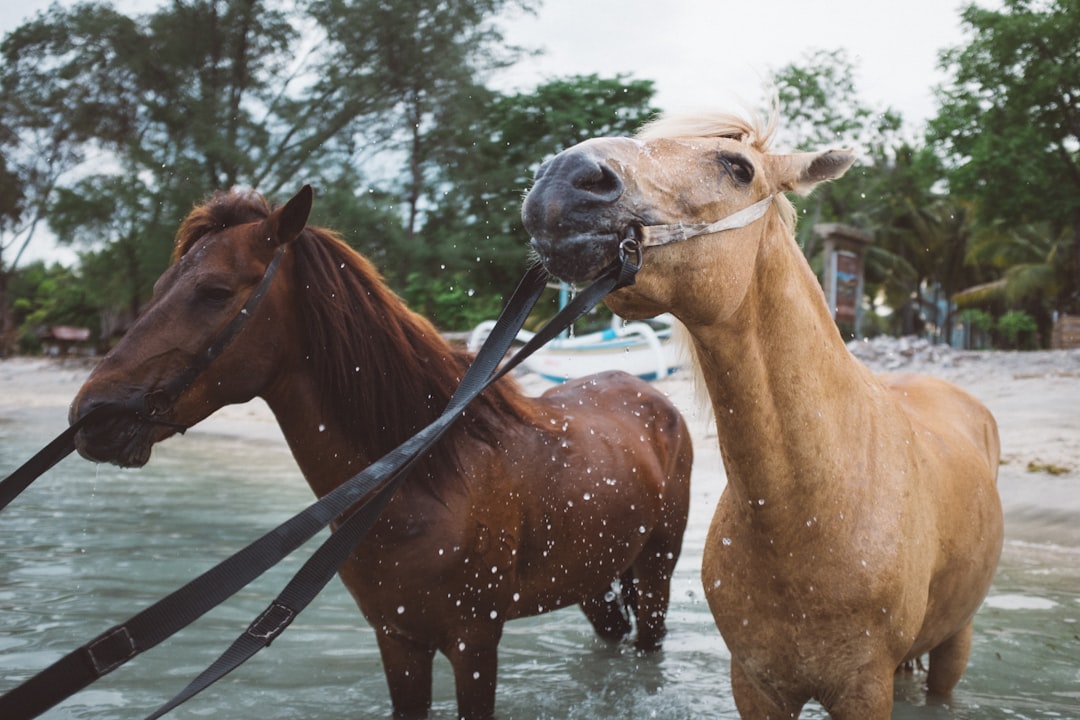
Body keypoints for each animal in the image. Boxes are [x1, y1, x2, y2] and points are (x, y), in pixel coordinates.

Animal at [69, 185, 691, 720]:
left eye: (215, 292)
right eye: (157, 290)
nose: (90, 416)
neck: (424, 483)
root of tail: (652, 397)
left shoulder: (475, 642)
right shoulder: (397, 641)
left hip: (654, 572)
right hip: (592, 580)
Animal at [522, 110, 1002, 716]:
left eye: (738, 167)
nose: (562, 178)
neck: (810, 514)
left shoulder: (864, 688)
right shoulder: (754, 683)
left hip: (956, 640)